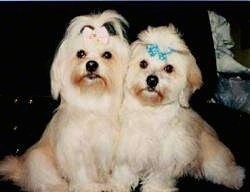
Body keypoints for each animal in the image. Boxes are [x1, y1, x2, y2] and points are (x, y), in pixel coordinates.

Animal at [0, 10, 129, 192]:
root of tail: (22, 173)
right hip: (38, 159)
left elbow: (103, 168)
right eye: (80, 53)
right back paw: (59, 186)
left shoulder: (105, 146)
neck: (92, 100)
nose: (91, 65)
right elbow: (81, 171)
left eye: (107, 55)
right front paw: (88, 186)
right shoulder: (74, 149)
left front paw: (106, 183)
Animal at [111, 24, 244, 191]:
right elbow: (124, 171)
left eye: (169, 68)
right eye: (143, 64)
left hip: (211, 158)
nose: (152, 80)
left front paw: (155, 188)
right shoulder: (128, 147)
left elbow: (158, 177)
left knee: (226, 170)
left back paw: (234, 179)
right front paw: (118, 185)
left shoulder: (167, 157)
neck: (151, 110)